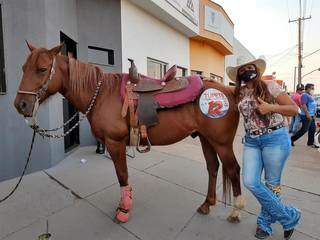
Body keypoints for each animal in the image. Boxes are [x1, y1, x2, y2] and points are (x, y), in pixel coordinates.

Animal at [13, 42, 244, 223]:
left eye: (42, 69)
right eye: (23, 67)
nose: (21, 104)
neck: (102, 94)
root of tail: (230, 91)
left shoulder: (115, 143)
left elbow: (122, 175)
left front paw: (124, 209)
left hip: (221, 143)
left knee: (233, 169)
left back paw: (236, 211)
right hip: (206, 139)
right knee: (213, 167)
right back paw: (207, 204)